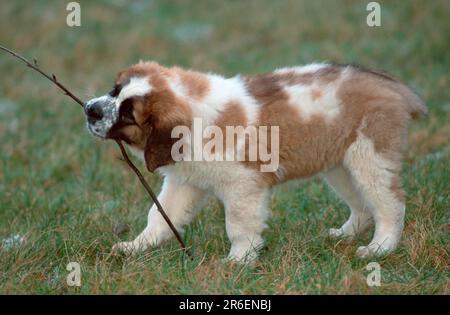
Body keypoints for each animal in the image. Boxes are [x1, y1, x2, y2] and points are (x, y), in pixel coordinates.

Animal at [83, 61, 426, 264]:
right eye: (114, 91)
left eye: (128, 114)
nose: (90, 109)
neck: (194, 116)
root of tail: (392, 86)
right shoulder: (185, 181)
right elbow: (161, 215)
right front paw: (136, 246)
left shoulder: (243, 184)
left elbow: (238, 223)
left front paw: (238, 260)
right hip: (340, 165)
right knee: (362, 205)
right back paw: (344, 234)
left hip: (368, 156)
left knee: (389, 203)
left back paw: (380, 248)